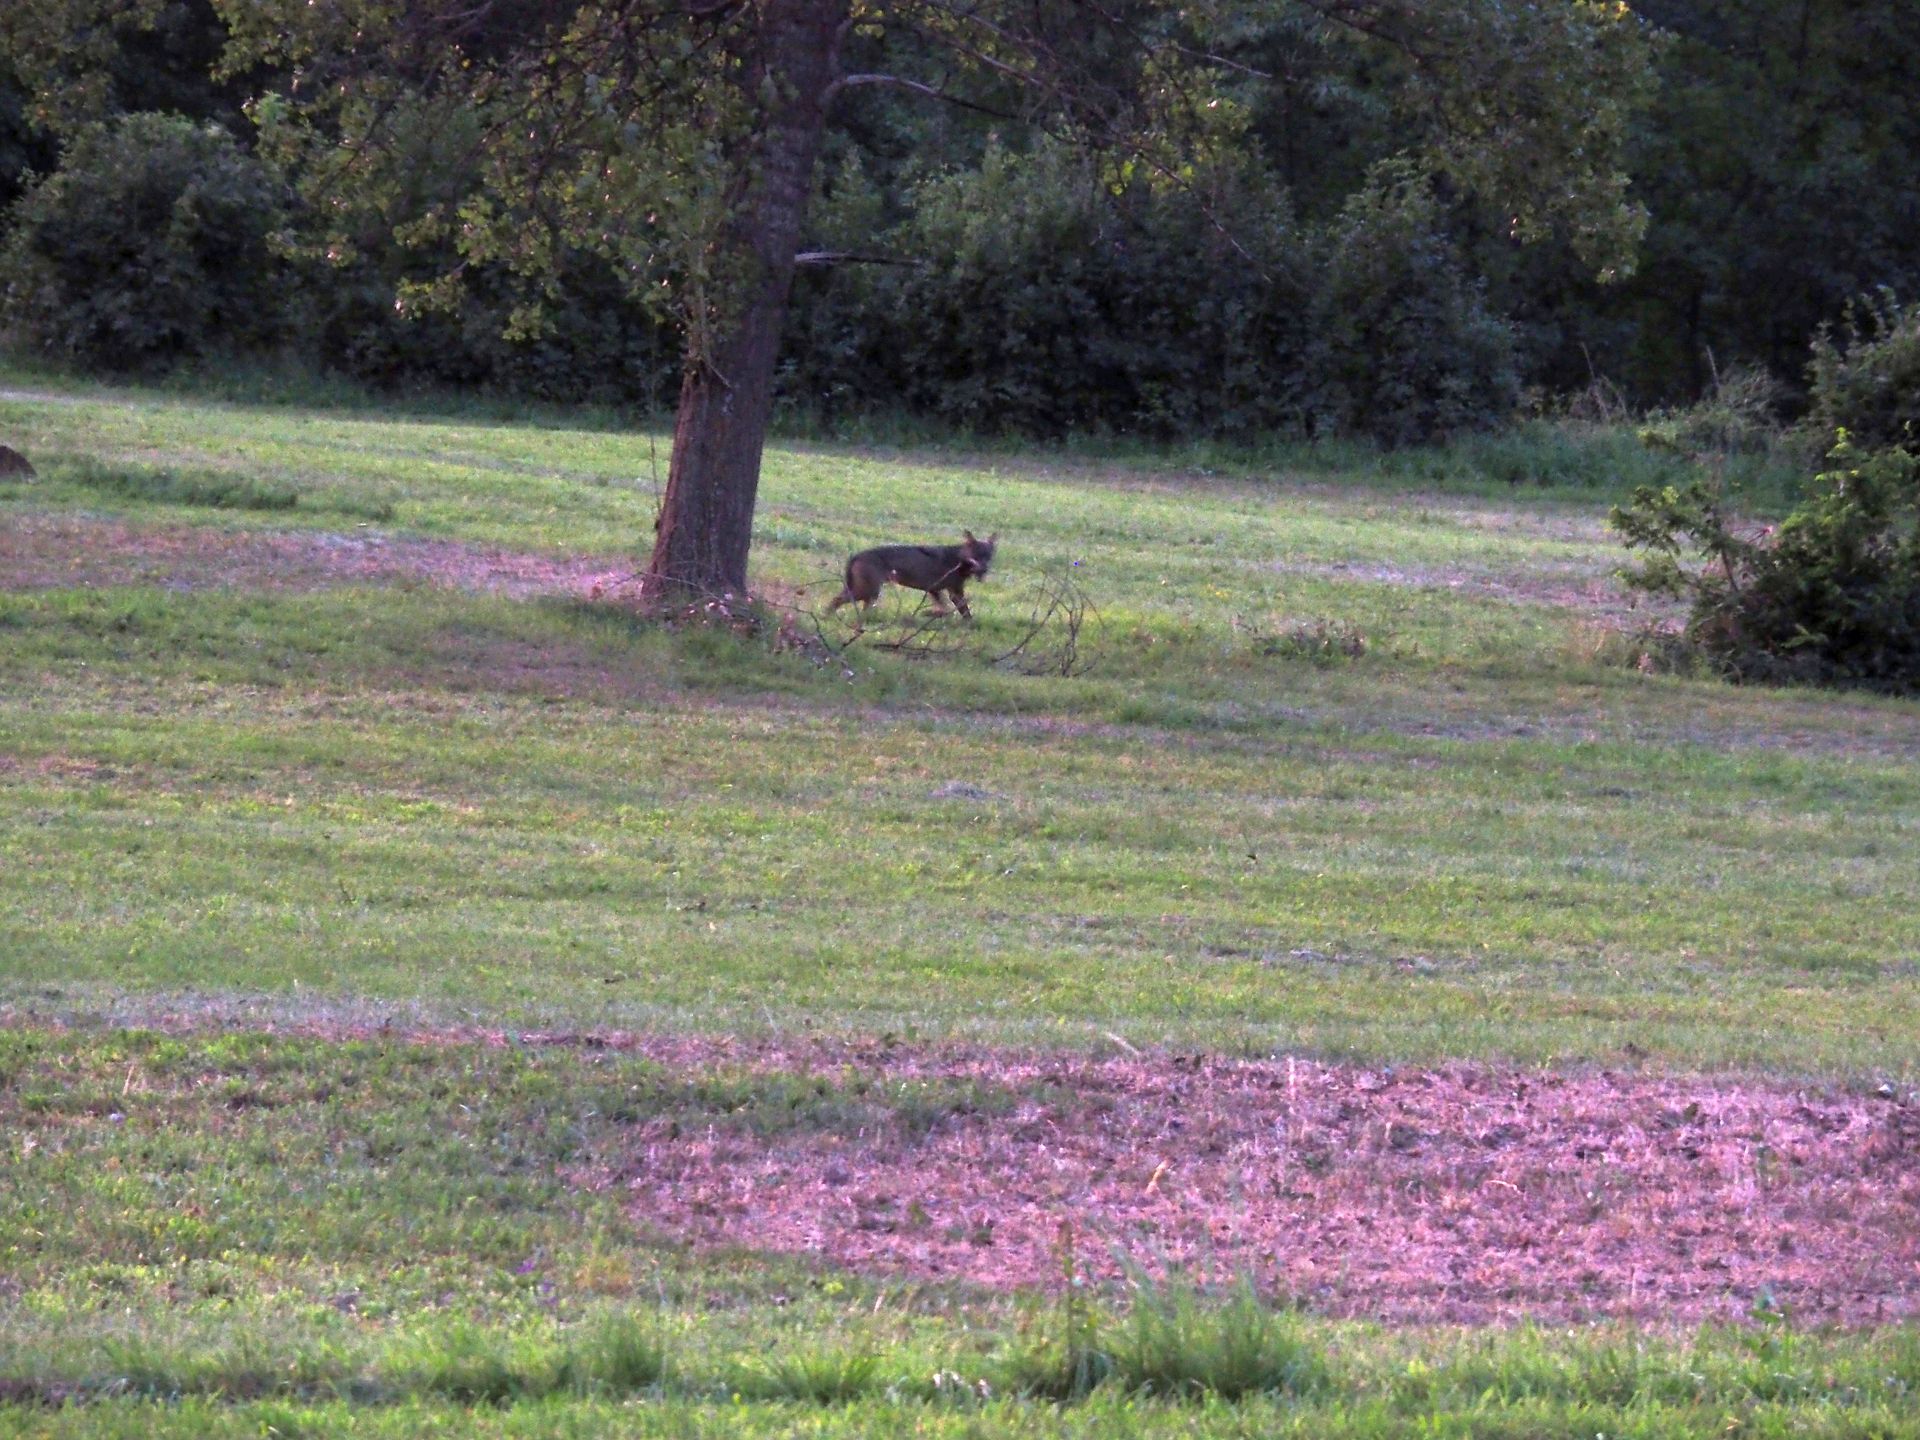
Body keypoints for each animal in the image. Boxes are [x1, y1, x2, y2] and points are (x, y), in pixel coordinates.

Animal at [829, 533, 1006, 618]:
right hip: (868, 591)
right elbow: (952, 610)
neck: (959, 560)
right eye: (977, 556)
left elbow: (958, 611)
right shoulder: (944, 590)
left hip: (868, 593)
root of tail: (856, 555)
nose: (984, 570)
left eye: (988, 556)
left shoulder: (943, 591)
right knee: (836, 600)